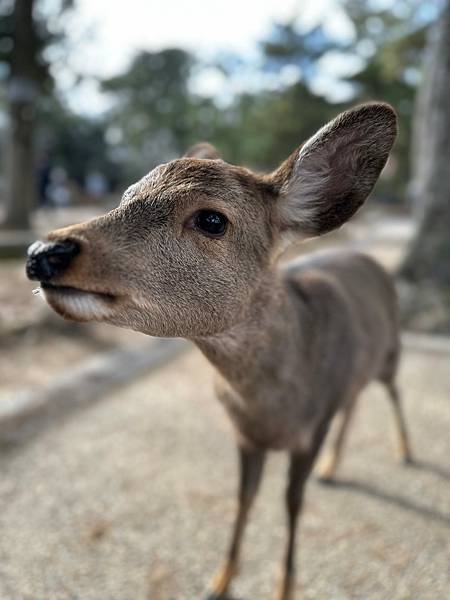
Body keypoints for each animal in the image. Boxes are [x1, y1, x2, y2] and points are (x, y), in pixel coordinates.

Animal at [25, 103, 412, 600]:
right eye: (125, 197)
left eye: (212, 219)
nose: (43, 252)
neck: (272, 406)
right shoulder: (244, 435)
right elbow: (244, 498)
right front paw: (221, 579)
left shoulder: (312, 428)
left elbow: (292, 503)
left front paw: (285, 586)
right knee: (356, 401)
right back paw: (333, 467)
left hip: (391, 352)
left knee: (393, 391)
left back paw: (404, 452)